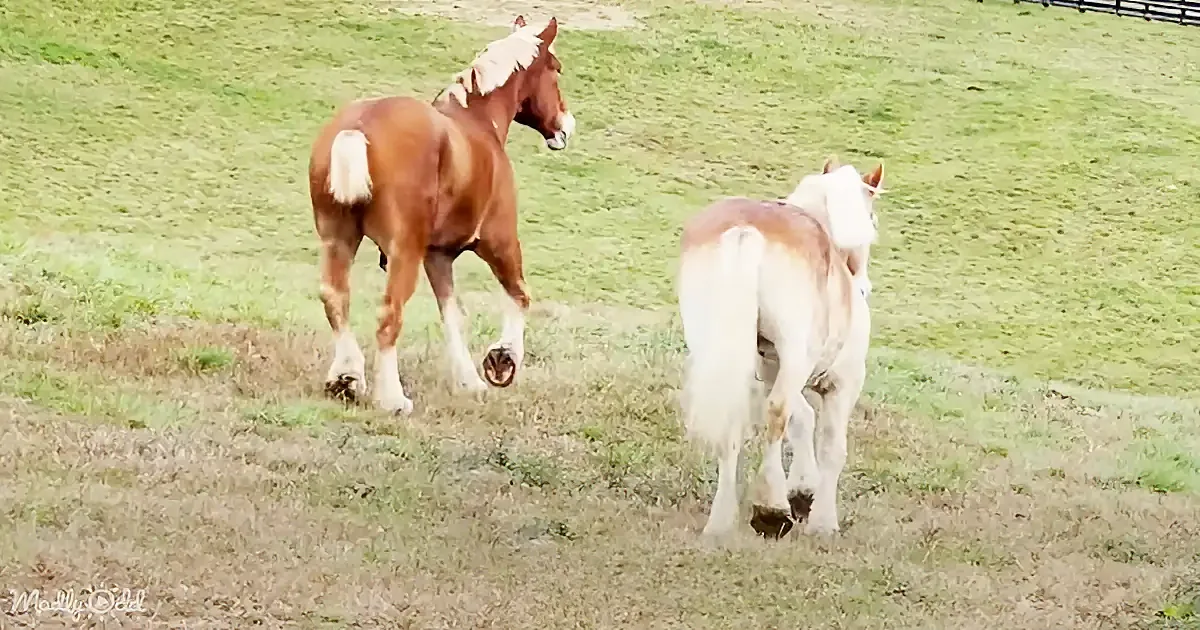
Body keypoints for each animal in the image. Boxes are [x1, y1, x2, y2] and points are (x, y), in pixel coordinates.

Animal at [307, 15, 576, 414]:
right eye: (556, 68)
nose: (566, 125)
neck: (477, 122)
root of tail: (358, 127)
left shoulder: (438, 256)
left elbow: (452, 315)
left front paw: (469, 380)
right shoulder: (499, 241)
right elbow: (519, 294)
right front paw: (503, 359)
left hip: (338, 239)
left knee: (335, 298)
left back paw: (347, 378)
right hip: (404, 252)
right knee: (389, 315)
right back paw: (393, 398)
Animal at [676, 158, 886, 539]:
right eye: (872, 221)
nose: (864, 286)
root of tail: (745, 230)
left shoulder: (770, 366)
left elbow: (802, 419)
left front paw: (803, 491)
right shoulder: (842, 382)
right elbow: (831, 445)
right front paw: (823, 521)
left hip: (718, 354)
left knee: (735, 421)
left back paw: (721, 521)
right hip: (794, 353)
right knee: (776, 414)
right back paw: (770, 510)